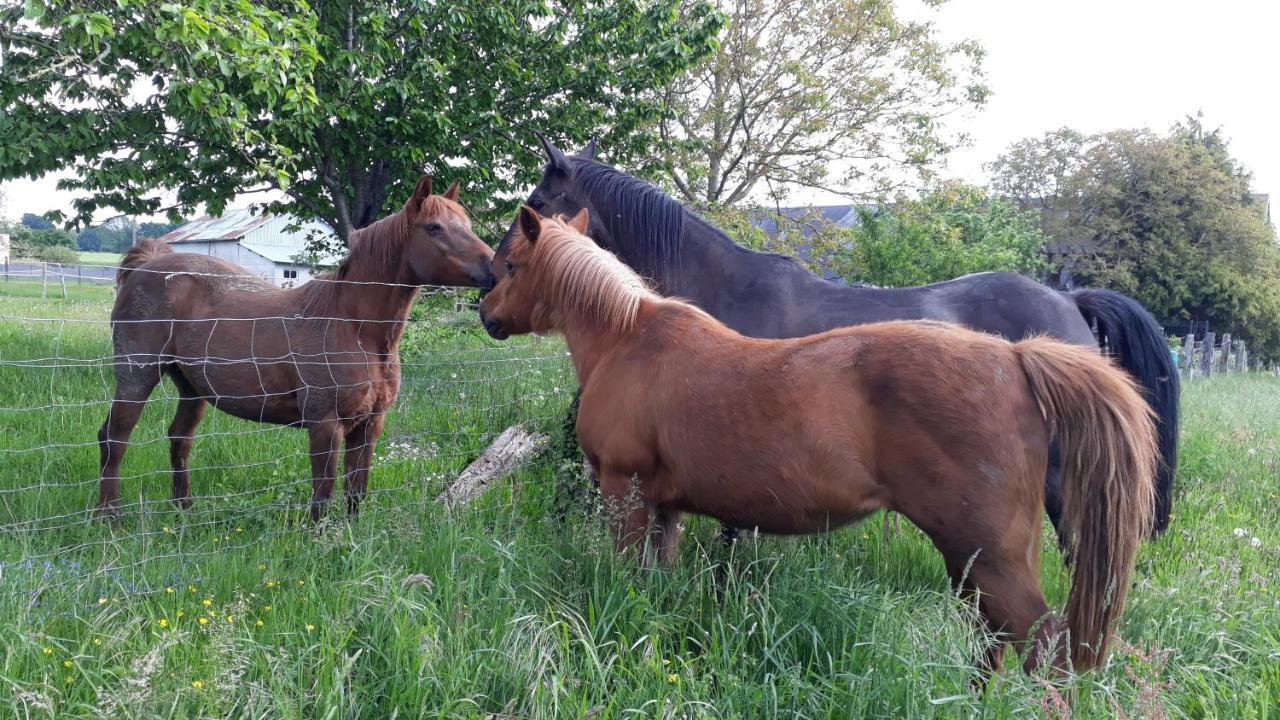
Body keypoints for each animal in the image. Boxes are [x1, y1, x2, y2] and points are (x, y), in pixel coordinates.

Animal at [94, 176, 491, 517]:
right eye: (434, 227)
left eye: (467, 224)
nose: (493, 267)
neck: (354, 327)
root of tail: (147, 265)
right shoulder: (326, 426)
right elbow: (323, 495)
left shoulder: (369, 426)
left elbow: (356, 493)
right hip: (137, 377)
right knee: (114, 439)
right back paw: (109, 518)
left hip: (192, 388)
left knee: (179, 439)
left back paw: (183, 510)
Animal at [481, 206, 1162, 671]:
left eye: (511, 263)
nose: (485, 314)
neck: (629, 340)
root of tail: (1017, 359)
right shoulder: (665, 507)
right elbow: (657, 580)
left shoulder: (623, 493)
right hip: (976, 562)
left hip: (991, 558)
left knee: (1043, 647)